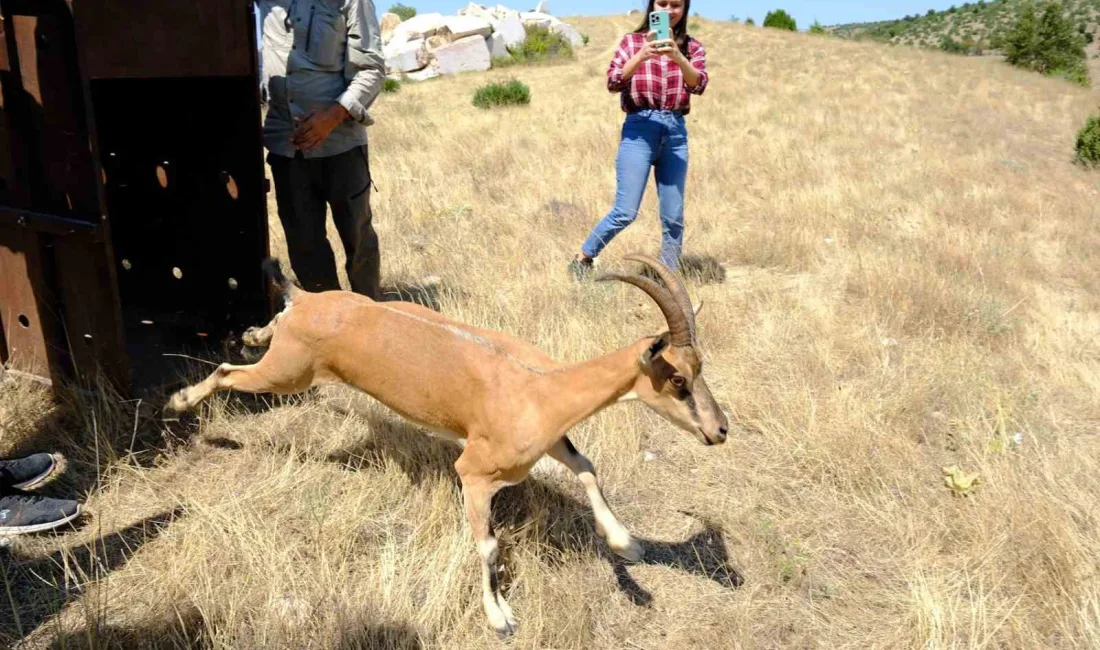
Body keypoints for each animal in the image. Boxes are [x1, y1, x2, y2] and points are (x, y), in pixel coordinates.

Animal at [167, 254, 726, 637]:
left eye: (702, 367)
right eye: (678, 379)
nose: (720, 430)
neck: (541, 387)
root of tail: (307, 302)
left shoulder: (550, 443)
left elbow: (587, 467)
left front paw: (629, 546)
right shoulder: (474, 472)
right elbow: (489, 544)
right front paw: (500, 619)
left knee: (256, 341)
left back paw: (250, 334)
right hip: (287, 375)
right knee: (226, 371)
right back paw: (180, 401)